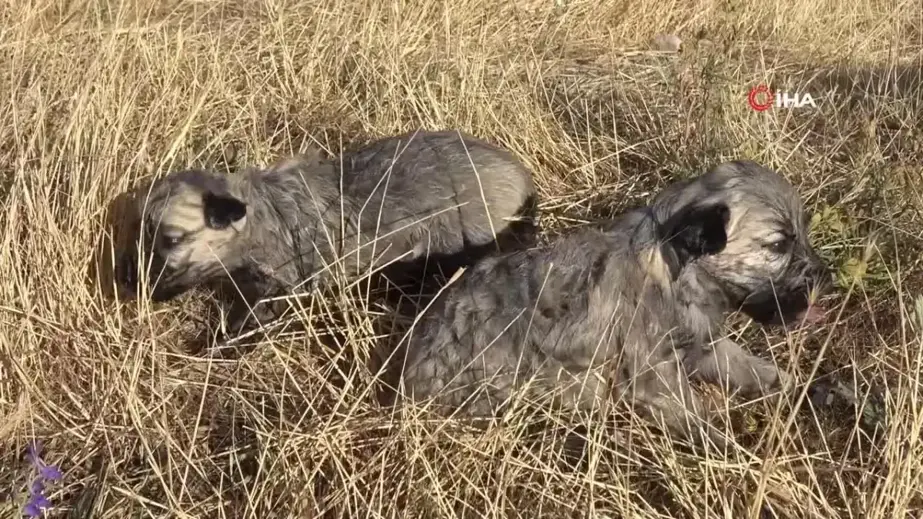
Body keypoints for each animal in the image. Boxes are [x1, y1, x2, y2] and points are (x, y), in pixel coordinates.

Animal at [400, 161, 832, 446]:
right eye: (778, 245)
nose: (826, 278)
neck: (674, 272)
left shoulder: (703, 345)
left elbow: (751, 367)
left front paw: (798, 387)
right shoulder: (655, 380)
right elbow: (698, 418)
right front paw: (734, 454)